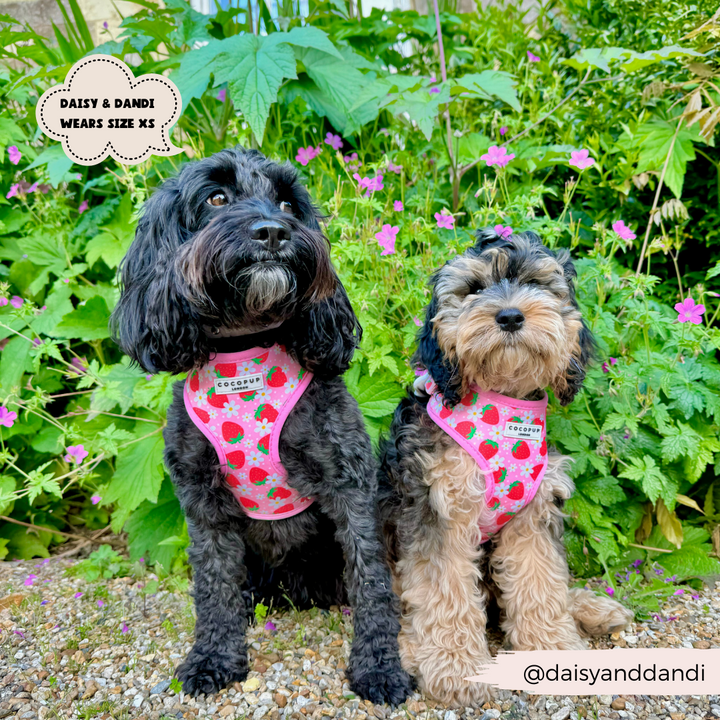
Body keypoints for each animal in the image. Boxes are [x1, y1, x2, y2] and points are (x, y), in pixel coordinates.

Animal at [114, 146, 410, 704]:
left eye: (289, 203)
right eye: (216, 197)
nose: (273, 231)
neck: (244, 354)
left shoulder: (349, 484)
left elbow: (371, 580)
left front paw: (379, 667)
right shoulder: (203, 503)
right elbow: (213, 586)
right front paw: (212, 658)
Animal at [380, 229, 632, 704]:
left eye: (535, 284)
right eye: (474, 289)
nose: (511, 315)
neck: (504, 401)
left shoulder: (533, 512)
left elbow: (541, 580)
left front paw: (553, 652)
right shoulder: (440, 507)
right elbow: (444, 592)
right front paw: (456, 668)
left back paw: (594, 608)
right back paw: (408, 648)